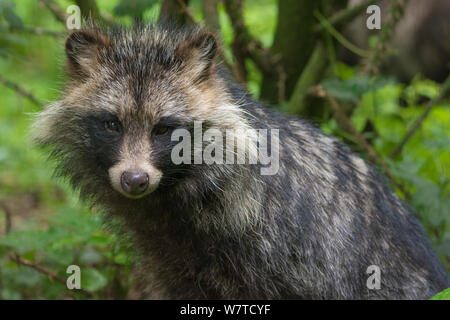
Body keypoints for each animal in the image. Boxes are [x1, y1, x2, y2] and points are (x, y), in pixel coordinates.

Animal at [31, 23, 446, 300]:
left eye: (163, 129)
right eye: (112, 124)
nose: (135, 180)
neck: (175, 193)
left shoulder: (279, 253)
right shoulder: (172, 259)